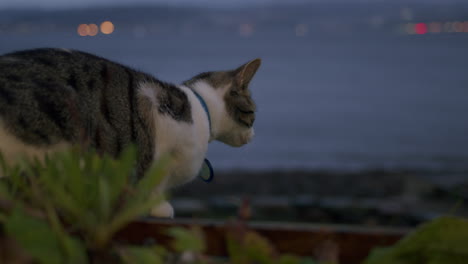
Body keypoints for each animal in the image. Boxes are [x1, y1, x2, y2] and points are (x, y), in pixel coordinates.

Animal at [0, 48, 260, 218]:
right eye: (253, 115)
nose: (254, 136)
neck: (200, 109)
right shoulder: (162, 152)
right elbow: (154, 182)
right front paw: (158, 207)